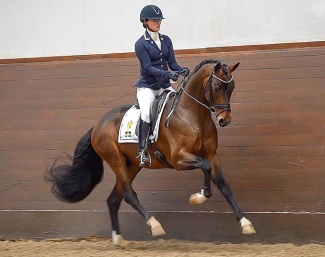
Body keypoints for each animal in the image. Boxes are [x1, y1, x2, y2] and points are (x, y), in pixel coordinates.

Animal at [43, 59, 256, 243]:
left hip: (133, 165)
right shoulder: (179, 159)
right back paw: (154, 225)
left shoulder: (212, 156)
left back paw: (119, 239)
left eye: (232, 87)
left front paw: (245, 223)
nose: (224, 120)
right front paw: (199, 197)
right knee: (129, 194)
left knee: (114, 199)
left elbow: (223, 185)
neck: (192, 115)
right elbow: (204, 167)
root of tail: (98, 124)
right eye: (217, 87)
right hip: (116, 160)